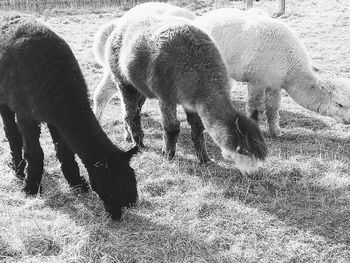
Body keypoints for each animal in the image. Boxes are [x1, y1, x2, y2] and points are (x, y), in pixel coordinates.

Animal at [0, 14, 139, 221]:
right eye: (111, 190)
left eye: (130, 185)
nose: (115, 215)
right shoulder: (26, 113)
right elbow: (34, 152)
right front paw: (31, 187)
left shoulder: (57, 118)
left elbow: (64, 151)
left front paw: (78, 184)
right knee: (11, 133)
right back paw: (18, 169)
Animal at [102, 13, 268, 175]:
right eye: (244, 152)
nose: (253, 173)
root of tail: (120, 24)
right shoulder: (165, 94)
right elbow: (172, 127)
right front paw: (168, 156)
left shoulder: (192, 100)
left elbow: (198, 128)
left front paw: (205, 159)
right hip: (122, 77)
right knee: (131, 111)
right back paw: (139, 143)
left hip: (140, 85)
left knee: (133, 108)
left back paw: (128, 136)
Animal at [196, 8, 350, 136]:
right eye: (340, 104)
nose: (349, 121)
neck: (290, 66)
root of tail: (201, 19)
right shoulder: (257, 80)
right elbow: (254, 106)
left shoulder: (274, 83)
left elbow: (273, 109)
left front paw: (275, 132)